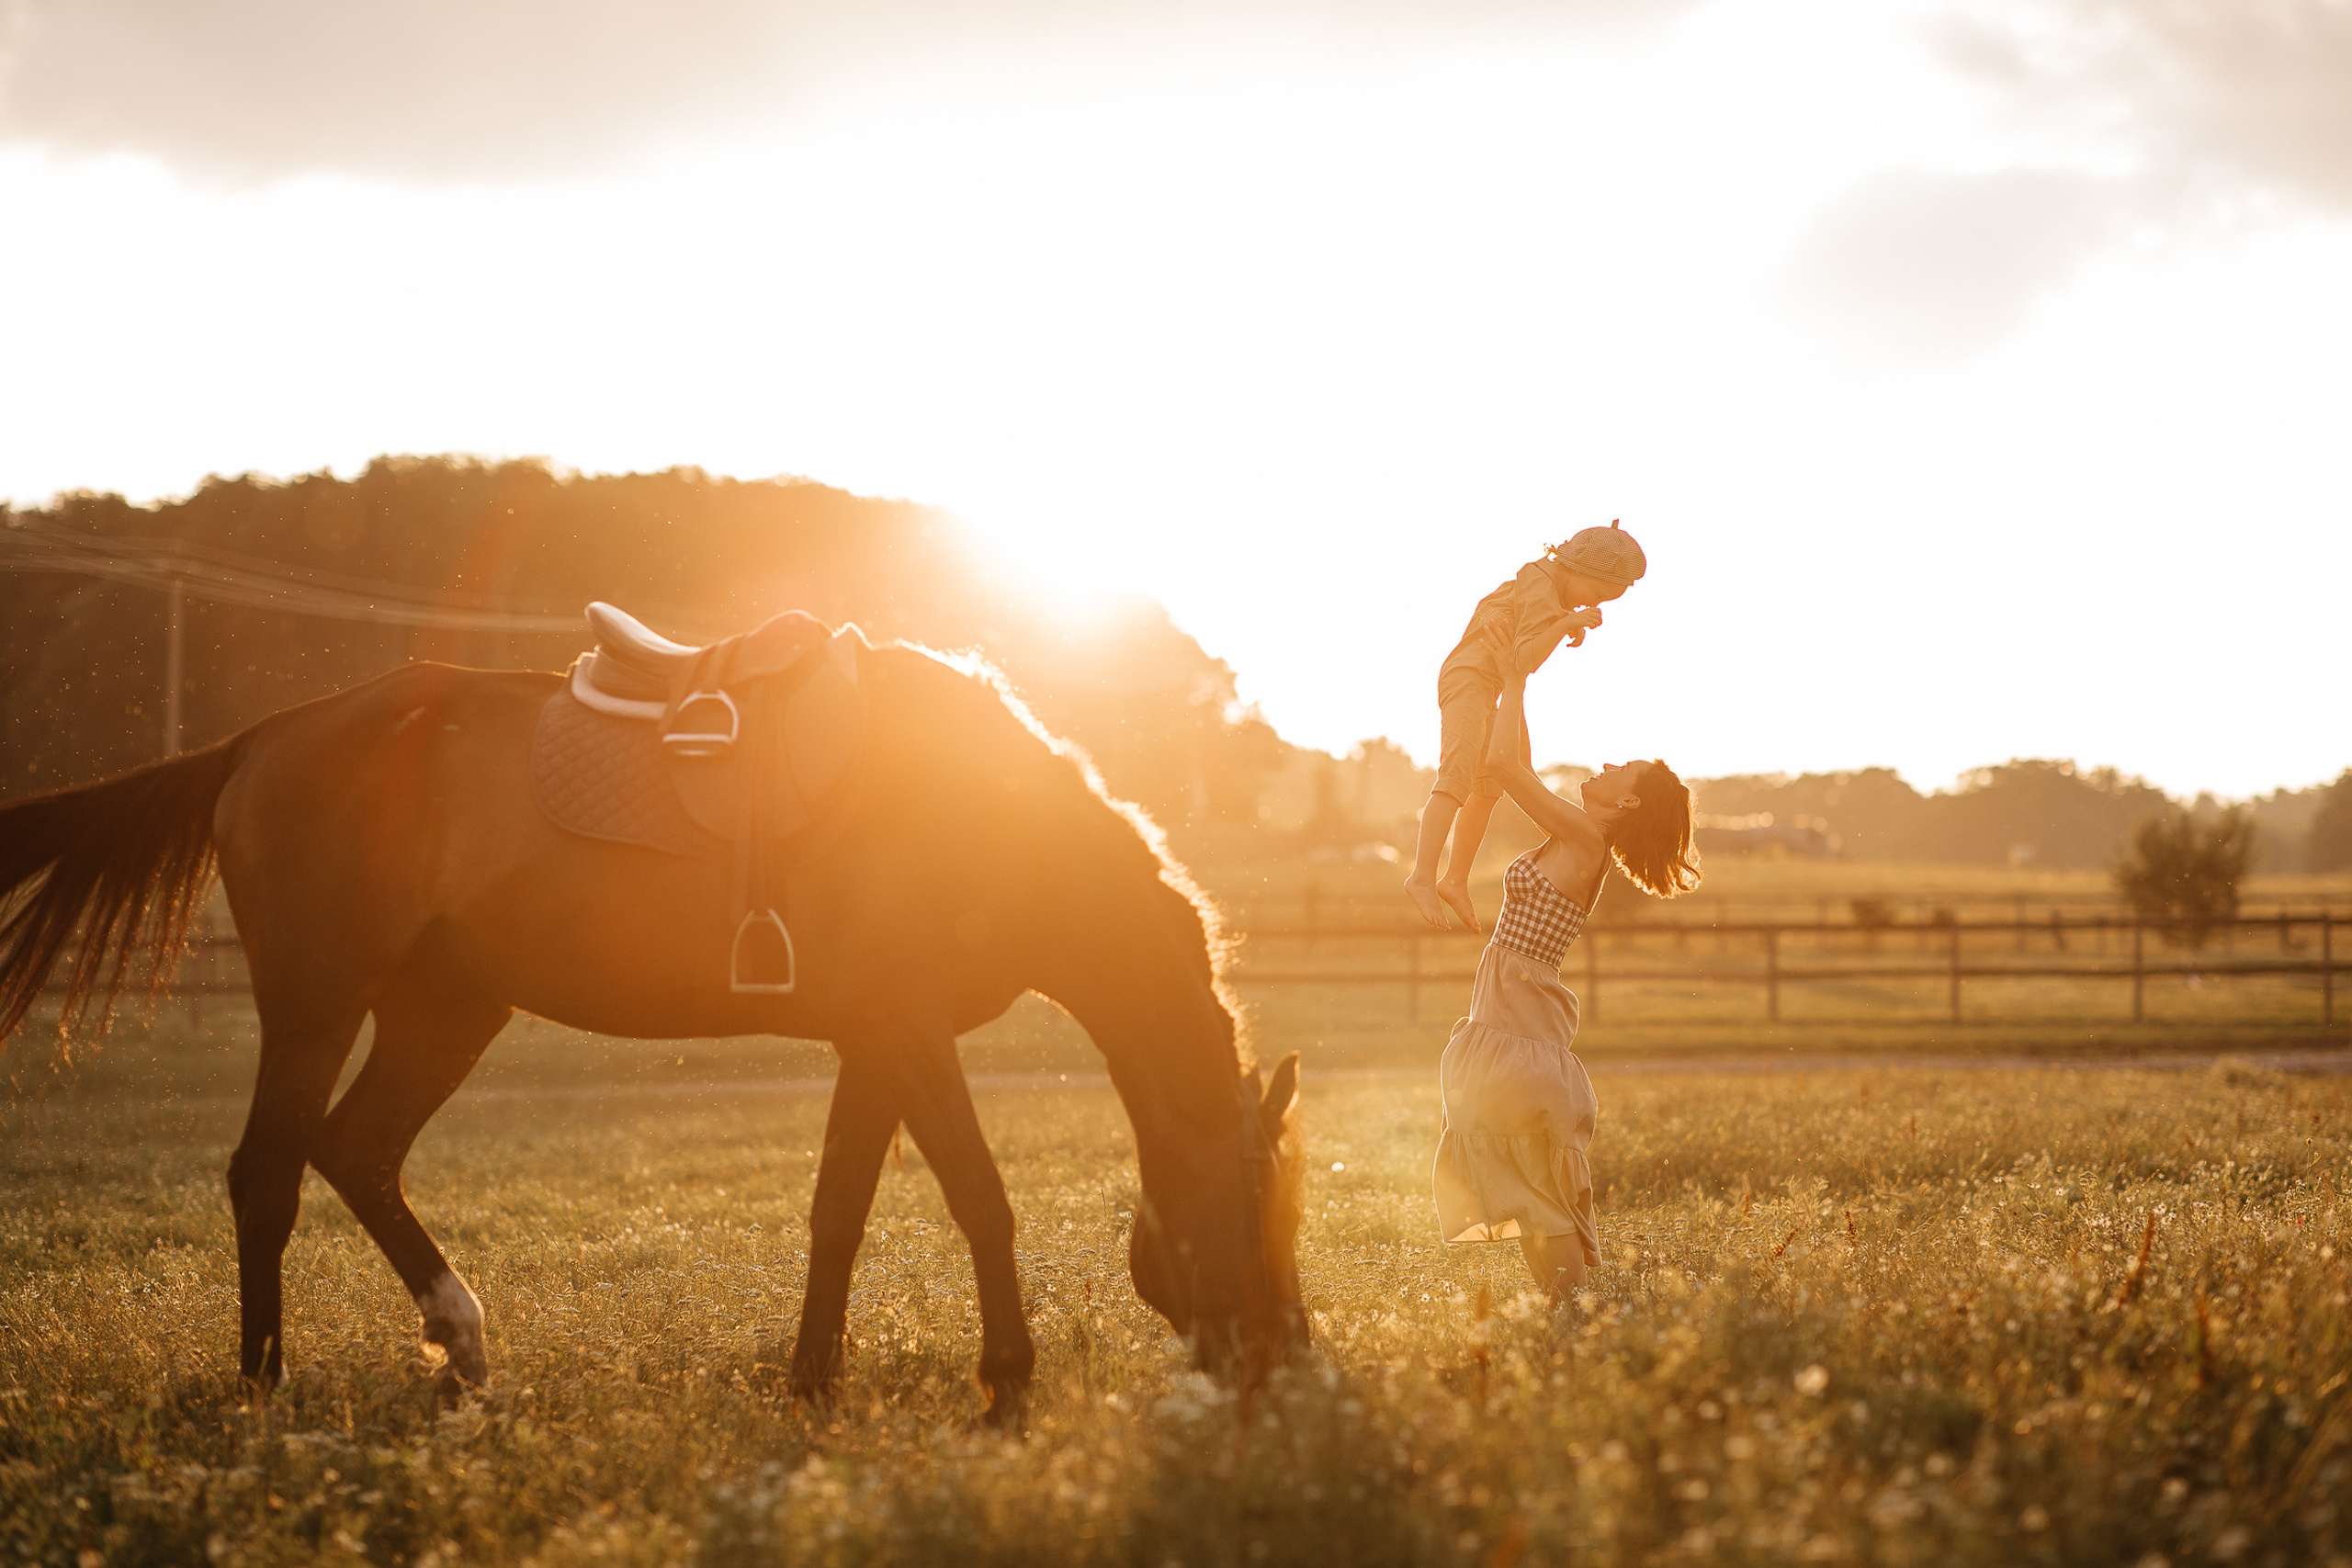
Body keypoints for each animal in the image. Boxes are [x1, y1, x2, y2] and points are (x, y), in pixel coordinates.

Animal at [0, 639, 1308, 1423]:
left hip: (446, 1010)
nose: (1287, 1362)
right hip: (319, 1001)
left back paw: (463, 1347)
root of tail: (266, 739)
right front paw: (1007, 1387)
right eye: (1261, 1207)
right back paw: (265, 1386)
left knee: (355, 1153)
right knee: (269, 1172)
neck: (984, 811)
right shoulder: (910, 1031)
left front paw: (813, 1386)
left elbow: (838, 1212)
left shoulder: (875, 1041)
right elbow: (982, 1200)